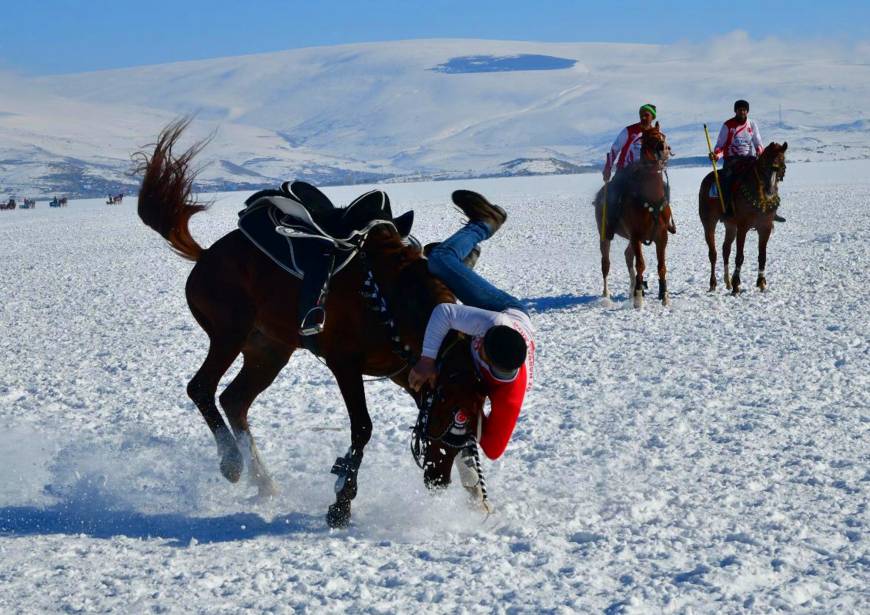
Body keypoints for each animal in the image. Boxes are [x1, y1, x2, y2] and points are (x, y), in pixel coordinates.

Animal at [140, 121, 488, 528]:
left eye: (474, 424)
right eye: (452, 418)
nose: (438, 480)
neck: (392, 296)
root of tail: (206, 254)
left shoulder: (407, 369)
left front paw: (476, 494)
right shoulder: (344, 363)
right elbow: (363, 427)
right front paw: (341, 503)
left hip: (269, 349)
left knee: (234, 399)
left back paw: (264, 482)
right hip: (229, 332)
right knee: (201, 388)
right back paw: (232, 463)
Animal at [592, 122, 676, 308]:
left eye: (663, 135)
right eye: (648, 138)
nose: (664, 149)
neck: (651, 198)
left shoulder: (661, 235)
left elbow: (661, 266)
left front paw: (664, 296)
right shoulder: (636, 235)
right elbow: (641, 265)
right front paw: (638, 299)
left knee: (627, 256)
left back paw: (631, 290)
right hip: (605, 234)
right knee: (605, 264)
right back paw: (607, 295)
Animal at [700, 143, 792, 294]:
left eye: (782, 166)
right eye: (765, 165)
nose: (770, 191)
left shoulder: (765, 228)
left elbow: (762, 256)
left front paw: (761, 282)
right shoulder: (742, 227)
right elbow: (739, 256)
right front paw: (736, 284)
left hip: (730, 225)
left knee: (726, 249)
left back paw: (727, 282)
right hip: (709, 222)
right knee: (713, 253)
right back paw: (713, 283)